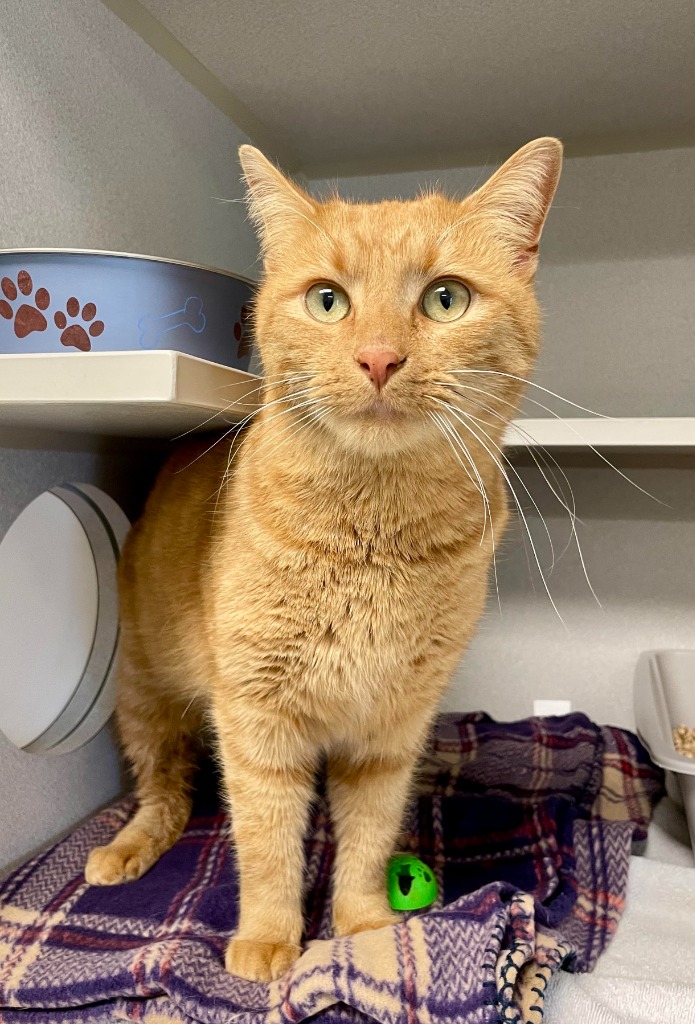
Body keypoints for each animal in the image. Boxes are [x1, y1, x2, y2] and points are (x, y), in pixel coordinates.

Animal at [85, 137, 562, 982]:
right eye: (328, 301)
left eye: (445, 300)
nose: (377, 358)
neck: (372, 538)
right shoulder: (258, 724)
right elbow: (268, 841)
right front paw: (270, 938)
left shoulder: (389, 732)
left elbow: (367, 836)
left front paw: (365, 928)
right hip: (145, 694)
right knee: (164, 790)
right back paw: (127, 847)